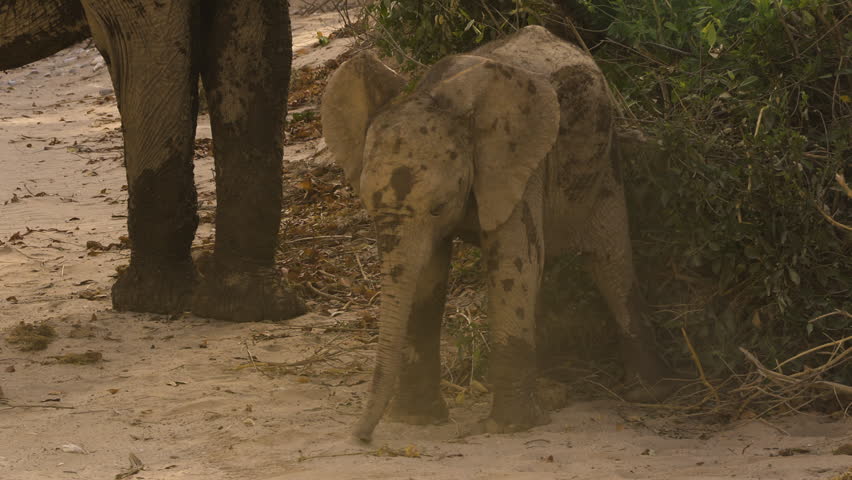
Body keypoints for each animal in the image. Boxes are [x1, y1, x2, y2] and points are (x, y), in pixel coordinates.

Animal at [322, 26, 672, 441]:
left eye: (439, 206)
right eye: (368, 207)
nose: (361, 437)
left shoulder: (519, 163)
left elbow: (513, 261)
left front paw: (509, 427)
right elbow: (427, 274)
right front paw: (417, 421)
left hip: (603, 161)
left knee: (610, 261)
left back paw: (645, 394)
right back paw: (553, 393)